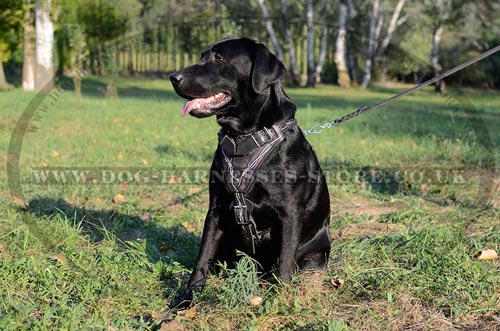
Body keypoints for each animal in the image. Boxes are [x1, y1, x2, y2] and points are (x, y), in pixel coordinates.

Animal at [170, 38, 330, 306]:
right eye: (202, 56)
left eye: (219, 58)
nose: (173, 77)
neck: (243, 139)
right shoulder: (215, 210)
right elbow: (202, 258)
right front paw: (187, 298)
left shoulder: (290, 213)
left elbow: (285, 262)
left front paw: (279, 300)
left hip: (314, 257)